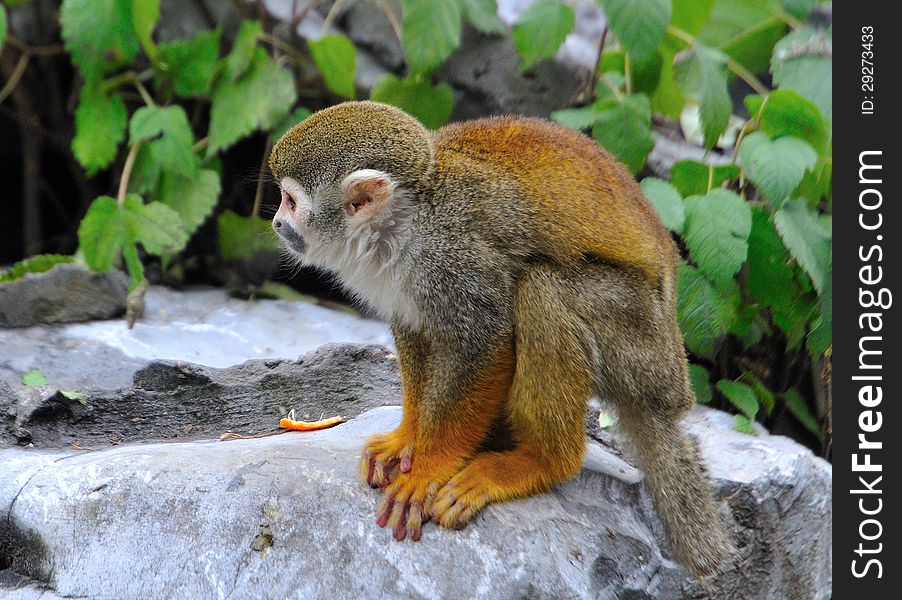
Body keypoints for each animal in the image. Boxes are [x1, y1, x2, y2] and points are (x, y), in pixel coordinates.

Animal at [268, 101, 736, 576]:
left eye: (291, 201)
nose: (276, 222)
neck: (403, 223)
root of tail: (671, 389)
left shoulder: (453, 254)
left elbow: (485, 340)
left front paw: (428, 468)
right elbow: (415, 329)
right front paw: (407, 440)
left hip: (638, 338)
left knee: (541, 289)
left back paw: (543, 461)